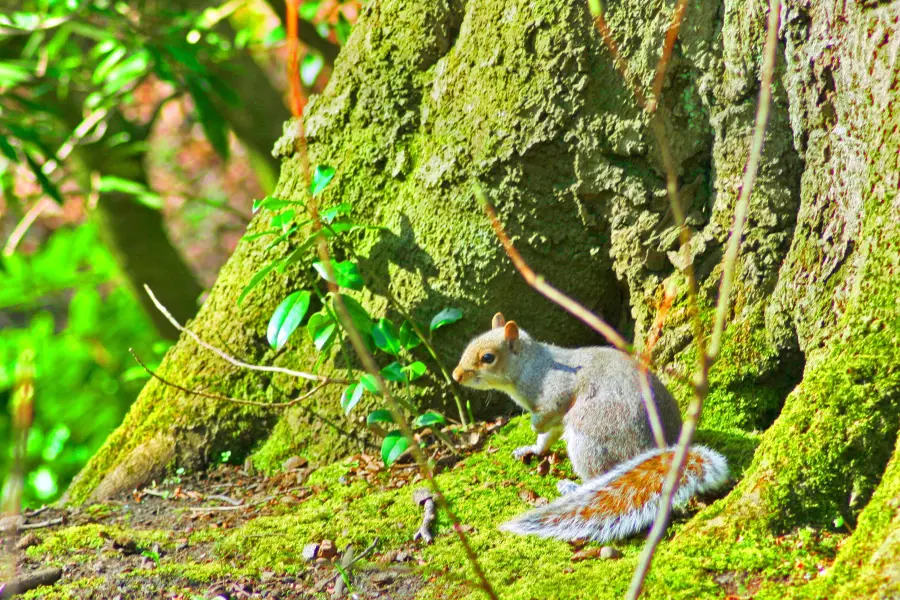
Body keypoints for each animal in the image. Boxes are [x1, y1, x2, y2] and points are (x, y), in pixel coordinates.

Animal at [454, 314, 728, 544]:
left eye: (488, 358)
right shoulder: (555, 419)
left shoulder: (555, 391)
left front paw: (534, 425)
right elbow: (547, 436)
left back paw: (573, 488)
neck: (530, 364)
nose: (456, 375)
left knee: (596, 474)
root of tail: (657, 449)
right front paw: (532, 448)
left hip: (589, 437)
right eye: (468, 346)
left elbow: (549, 413)